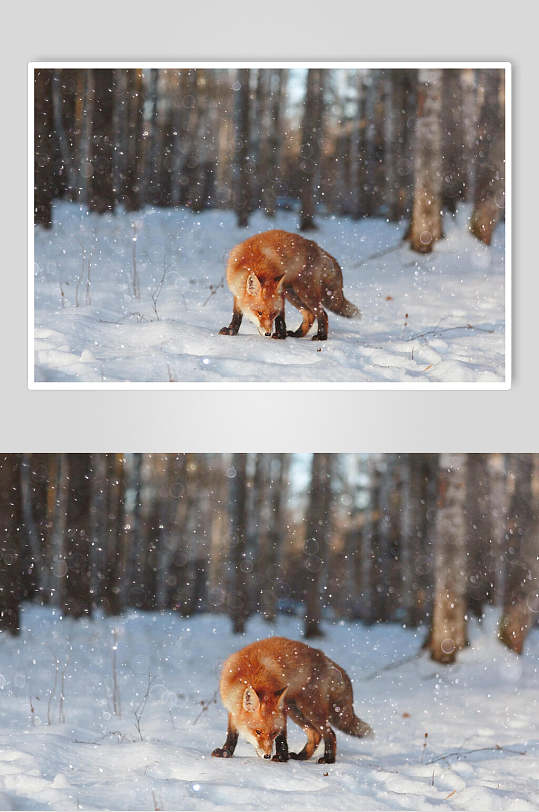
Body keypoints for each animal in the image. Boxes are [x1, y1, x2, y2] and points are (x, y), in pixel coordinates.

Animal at [211, 636, 372, 764]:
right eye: (258, 731)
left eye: (273, 733)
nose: (267, 756)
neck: (251, 674)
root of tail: (325, 657)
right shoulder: (232, 710)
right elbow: (232, 734)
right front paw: (226, 752)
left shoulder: (282, 714)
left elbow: (282, 738)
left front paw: (282, 757)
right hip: (295, 711)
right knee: (315, 734)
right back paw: (302, 756)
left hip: (309, 709)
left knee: (329, 733)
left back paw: (328, 759)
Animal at [217, 230, 360, 340]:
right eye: (259, 313)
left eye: (273, 313)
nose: (268, 333)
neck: (253, 262)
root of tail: (318, 248)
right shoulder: (237, 294)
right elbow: (237, 315)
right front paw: (231, 331)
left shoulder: (281, 297)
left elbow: (281, 318)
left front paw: (280, 334)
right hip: (293, 295)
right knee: (310, 315)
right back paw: (298, 334)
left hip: (303, 293)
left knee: (322, 314)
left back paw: (321, 336)